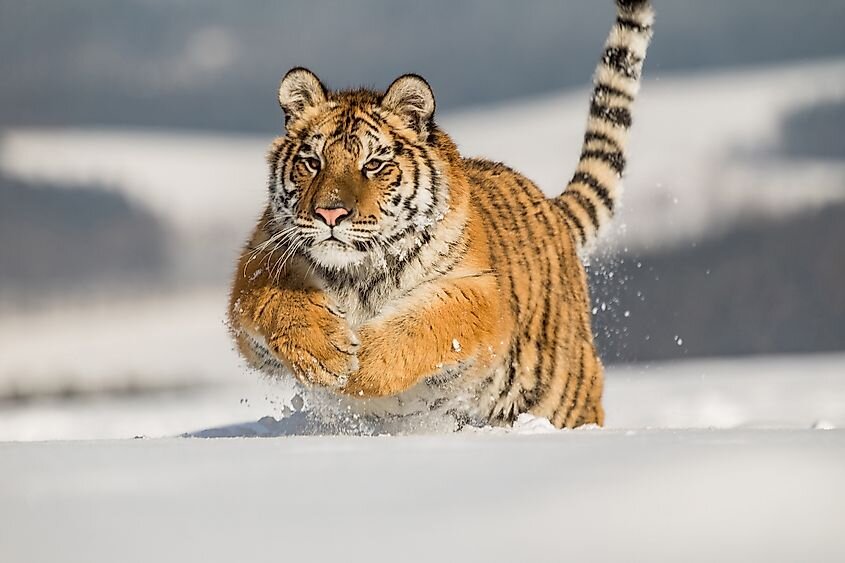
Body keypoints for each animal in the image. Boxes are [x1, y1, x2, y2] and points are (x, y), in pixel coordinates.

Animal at [228, 0, 654, 431]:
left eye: (374, 164)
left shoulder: (477, 289)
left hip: (563, 392)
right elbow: (278, 300)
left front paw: (361, 368)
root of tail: (551, 207)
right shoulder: (258, 260)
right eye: (312, 162)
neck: (358, 273)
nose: (330, 213)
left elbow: (425, 325)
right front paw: (326, 354)